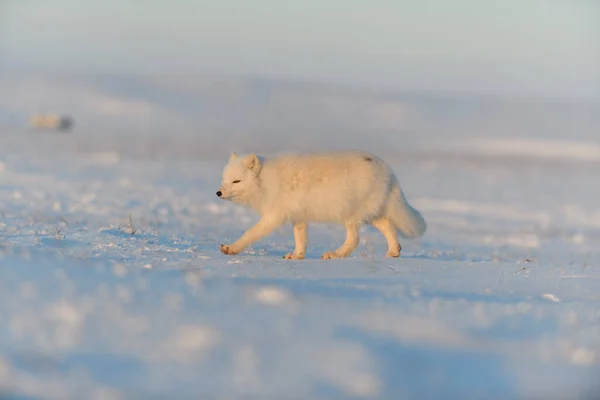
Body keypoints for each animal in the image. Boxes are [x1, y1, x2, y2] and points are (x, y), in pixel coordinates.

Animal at [216, 151, 426, 260]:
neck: (266, 182)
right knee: (387, 224)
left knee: (355, 239)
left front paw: (231, 248)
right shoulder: (298, 216)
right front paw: (297, 256)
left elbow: (250, 233)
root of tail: (388, 171)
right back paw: (393, 251)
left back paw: (335, 254)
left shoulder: (274, 215)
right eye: (224, 180)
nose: (219, 193)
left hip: (350, 216)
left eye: (236, 181)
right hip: (370, 214)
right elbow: (300, 239)